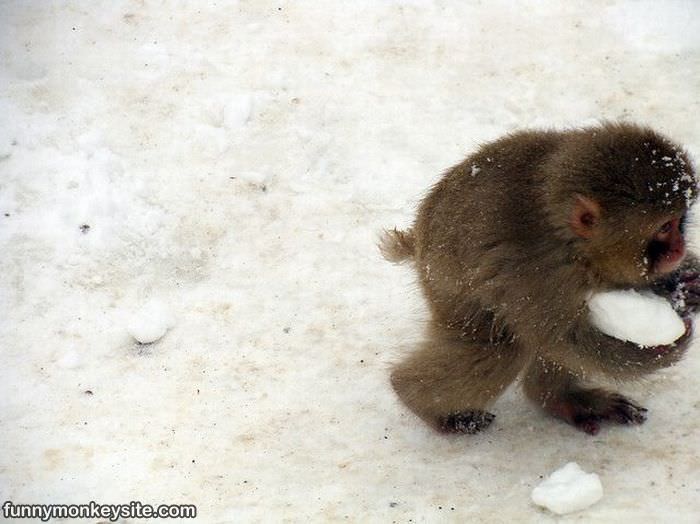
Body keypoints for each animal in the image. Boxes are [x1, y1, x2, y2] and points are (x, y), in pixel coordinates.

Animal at [382, 122, 700, 434]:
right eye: (664, 228)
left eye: (679, 223)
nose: (679, 249)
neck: (573, 244)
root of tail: (419, 238)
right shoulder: (540, 278)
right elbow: (562, 341)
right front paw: (662, 352)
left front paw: (684, 284)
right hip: (444, 287)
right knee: (503, 348)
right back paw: (418, 399)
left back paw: (559, 399)